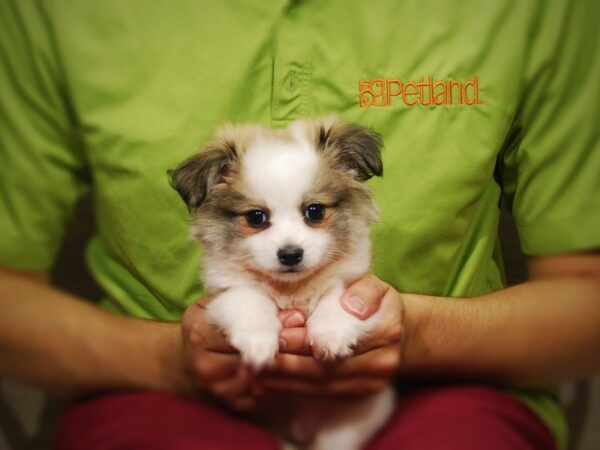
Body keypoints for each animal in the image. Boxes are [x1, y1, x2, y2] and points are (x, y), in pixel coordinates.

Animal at [170, 118, 394, 448]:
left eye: (314, 211)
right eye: (256, 217)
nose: (290, 254)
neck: (291, 290)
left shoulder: (358, 283)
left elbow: (339, 296)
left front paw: (331, 331)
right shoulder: (224, 292)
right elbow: (249, 298)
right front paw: (259, 341)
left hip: (351, 423)